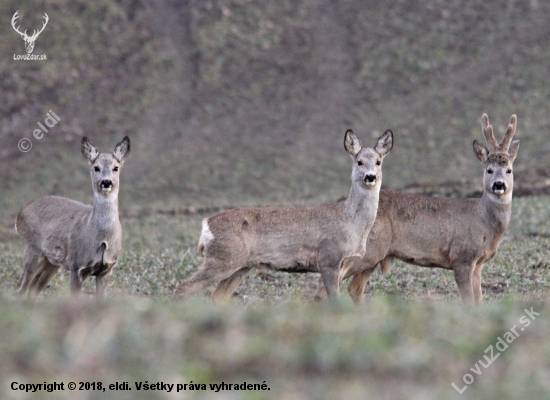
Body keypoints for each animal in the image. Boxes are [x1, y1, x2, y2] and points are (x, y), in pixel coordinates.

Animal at [15, 137, 131, 296]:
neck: (102, 238)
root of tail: (20, 213)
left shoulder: (106, 269)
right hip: (31, 248)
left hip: (51, 262)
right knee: (21, 288)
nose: (106, 182)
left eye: (116, 168)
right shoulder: (77, 265)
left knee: (32, 290)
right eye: (96, 167)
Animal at [175, 130, 394, 302]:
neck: (351, 222)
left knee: (217, 296)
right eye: (359, 162)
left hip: (239, 266)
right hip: (222, 259)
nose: (370, 177)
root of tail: (207, 224)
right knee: (183, 287)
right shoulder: (329, 259)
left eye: (378, 162)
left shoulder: (343, 264)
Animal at [314, 114, 520, 304]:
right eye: (489, 170)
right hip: (365, 251)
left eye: (509, 170)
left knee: (353, 288)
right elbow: (468, 302)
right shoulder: (462, 258)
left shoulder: (478, 264)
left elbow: (478, 301)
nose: (499, 185)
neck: (482, 221)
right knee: (327, 286)